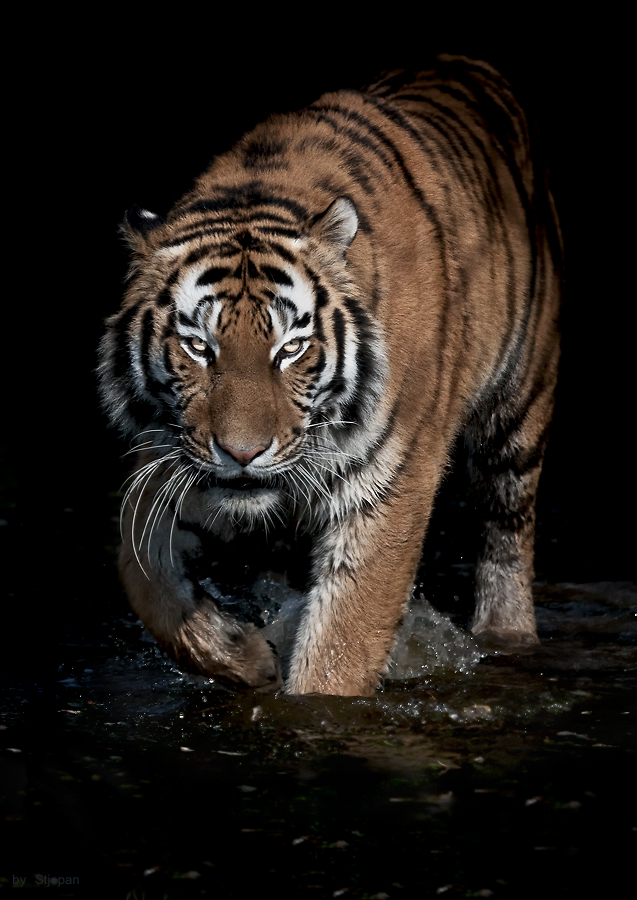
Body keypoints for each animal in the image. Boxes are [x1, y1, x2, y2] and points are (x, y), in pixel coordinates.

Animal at [99, 56, 560, 696]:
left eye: (291, 349)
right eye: (198, 347)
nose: (242, 454)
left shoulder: (392, 481)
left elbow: (341, 644)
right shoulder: (171, 463)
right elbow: (140, 569)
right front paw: (247, 655)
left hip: (516, 422)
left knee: (508, 539)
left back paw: (507, 635)